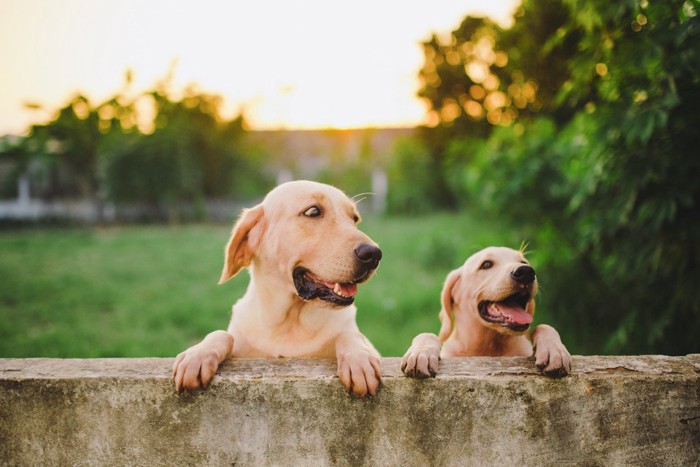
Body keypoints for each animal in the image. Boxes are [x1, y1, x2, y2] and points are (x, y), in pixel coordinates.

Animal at [175, 181, 382, 396]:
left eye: (354, 219)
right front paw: (197, 354)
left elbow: (350, 334)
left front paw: (359, 358)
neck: (288, 323)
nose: (374, 254)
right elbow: (222, 334)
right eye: (313, 211)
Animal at [402, 247, 572, 378]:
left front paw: (555, 350)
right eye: (486, 264)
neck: (489, 346)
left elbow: (544, 326)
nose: (525, 272)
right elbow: (427, 334)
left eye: (524, 262)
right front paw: (421, 353)